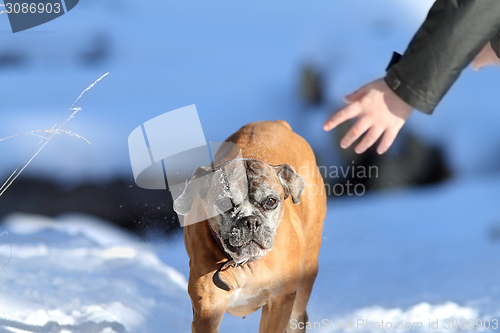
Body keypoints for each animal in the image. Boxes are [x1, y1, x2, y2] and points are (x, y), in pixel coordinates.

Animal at [174, 120, 326, 332]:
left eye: (271, 201)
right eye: (225, 203)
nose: (251, 220)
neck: (245, 264)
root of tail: (278, 123)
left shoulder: (279, 303)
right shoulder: (207, 311)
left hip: (306, 277)